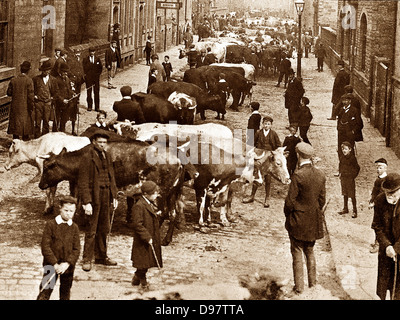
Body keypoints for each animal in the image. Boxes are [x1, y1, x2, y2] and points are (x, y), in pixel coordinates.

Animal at [38, 140, 188, 245]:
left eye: (47, 167)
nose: (40, 185)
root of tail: (178, 160)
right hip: (171, 194)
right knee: (172, 214)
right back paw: (166, 240)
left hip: (160, 194)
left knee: (162, 213)